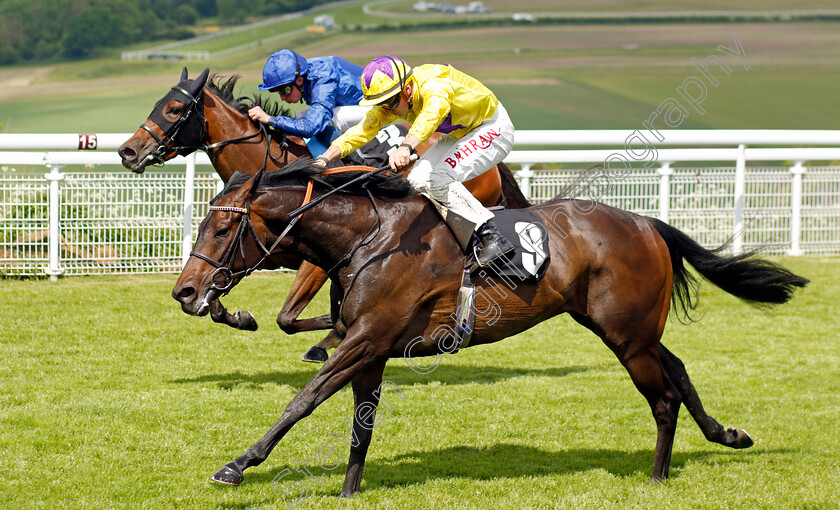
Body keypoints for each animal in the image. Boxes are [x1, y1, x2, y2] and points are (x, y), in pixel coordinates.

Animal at [118, 67, 528, 360]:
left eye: (173, 109)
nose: (128, 151)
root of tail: (496, 167)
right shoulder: (251, 249)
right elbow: (218, 293)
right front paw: (239, 316)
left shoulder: (314, 259)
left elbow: (288, 318)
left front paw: (326, 338)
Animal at [169, 160, 808, 498]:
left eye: (221, 230)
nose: (186, 292)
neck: (368, 240)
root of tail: (647, 222)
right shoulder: (370, 348)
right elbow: (360, 425)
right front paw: (351, 490)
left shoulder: (365, 339)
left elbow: (303, 399)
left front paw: (237, 466)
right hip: (629, 330)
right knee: (677, 368)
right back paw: (726, 435)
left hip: (626, 337)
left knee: (663, 397)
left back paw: (656, 476)